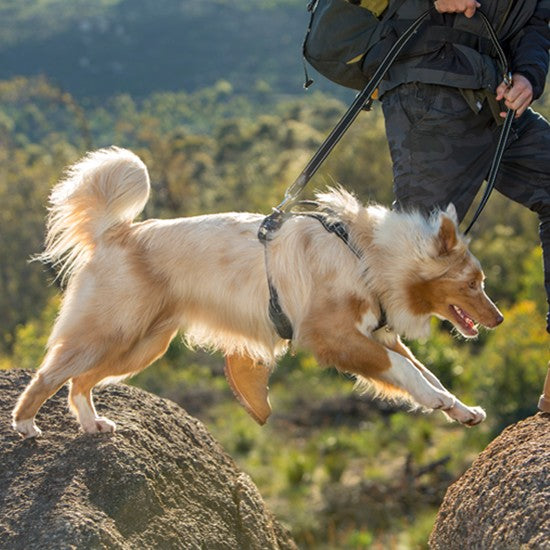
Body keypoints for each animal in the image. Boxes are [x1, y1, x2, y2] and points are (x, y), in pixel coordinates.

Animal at [11, 148, 504, 440]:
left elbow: (425, 373)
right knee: (50, 374)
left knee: (79, 382)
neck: (369, 254)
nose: (498, 319)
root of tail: (114, 233)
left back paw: (91, 423)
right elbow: (406, 371)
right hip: (109, 331)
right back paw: (26, 424)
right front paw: (440, 402)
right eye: (472, 283)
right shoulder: (331, 337)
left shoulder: (377, 335)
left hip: (141, 345)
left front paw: (459, 409)